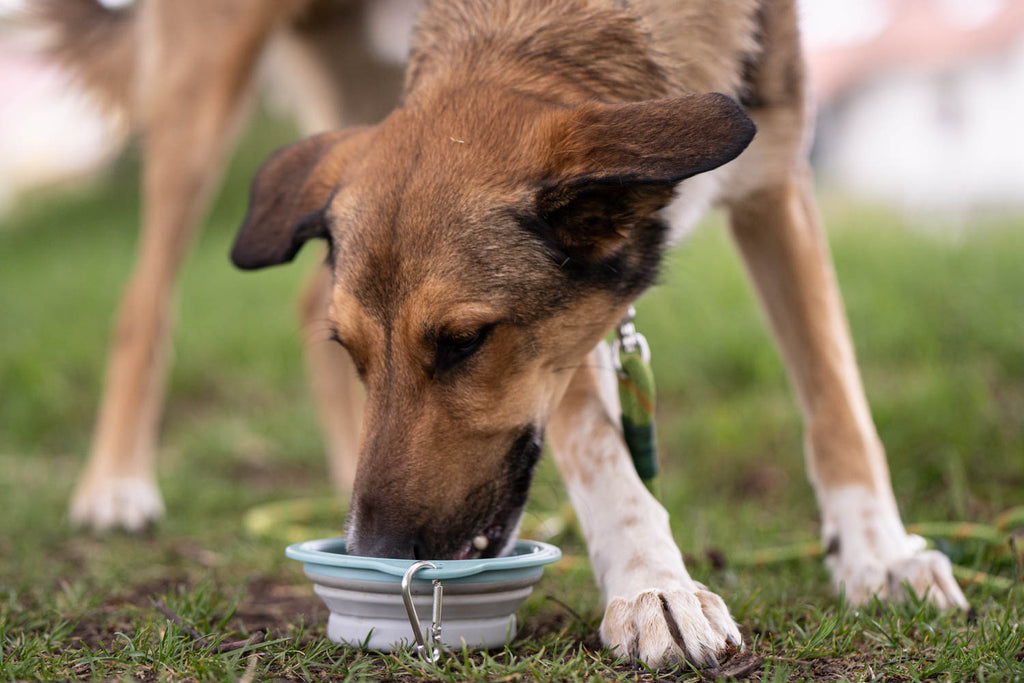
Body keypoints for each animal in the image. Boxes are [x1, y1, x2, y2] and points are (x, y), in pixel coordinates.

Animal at [44, 0, 966, 671]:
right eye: (358, 354)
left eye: (462, 342)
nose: (372, 551)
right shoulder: (563, 346)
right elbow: (600, 448)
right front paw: (653, 583)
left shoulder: (777, 179)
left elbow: (836, 398)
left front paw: (881, 553)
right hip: (204, 82)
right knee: (145, 305)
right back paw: (116, 485)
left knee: (301, 297)